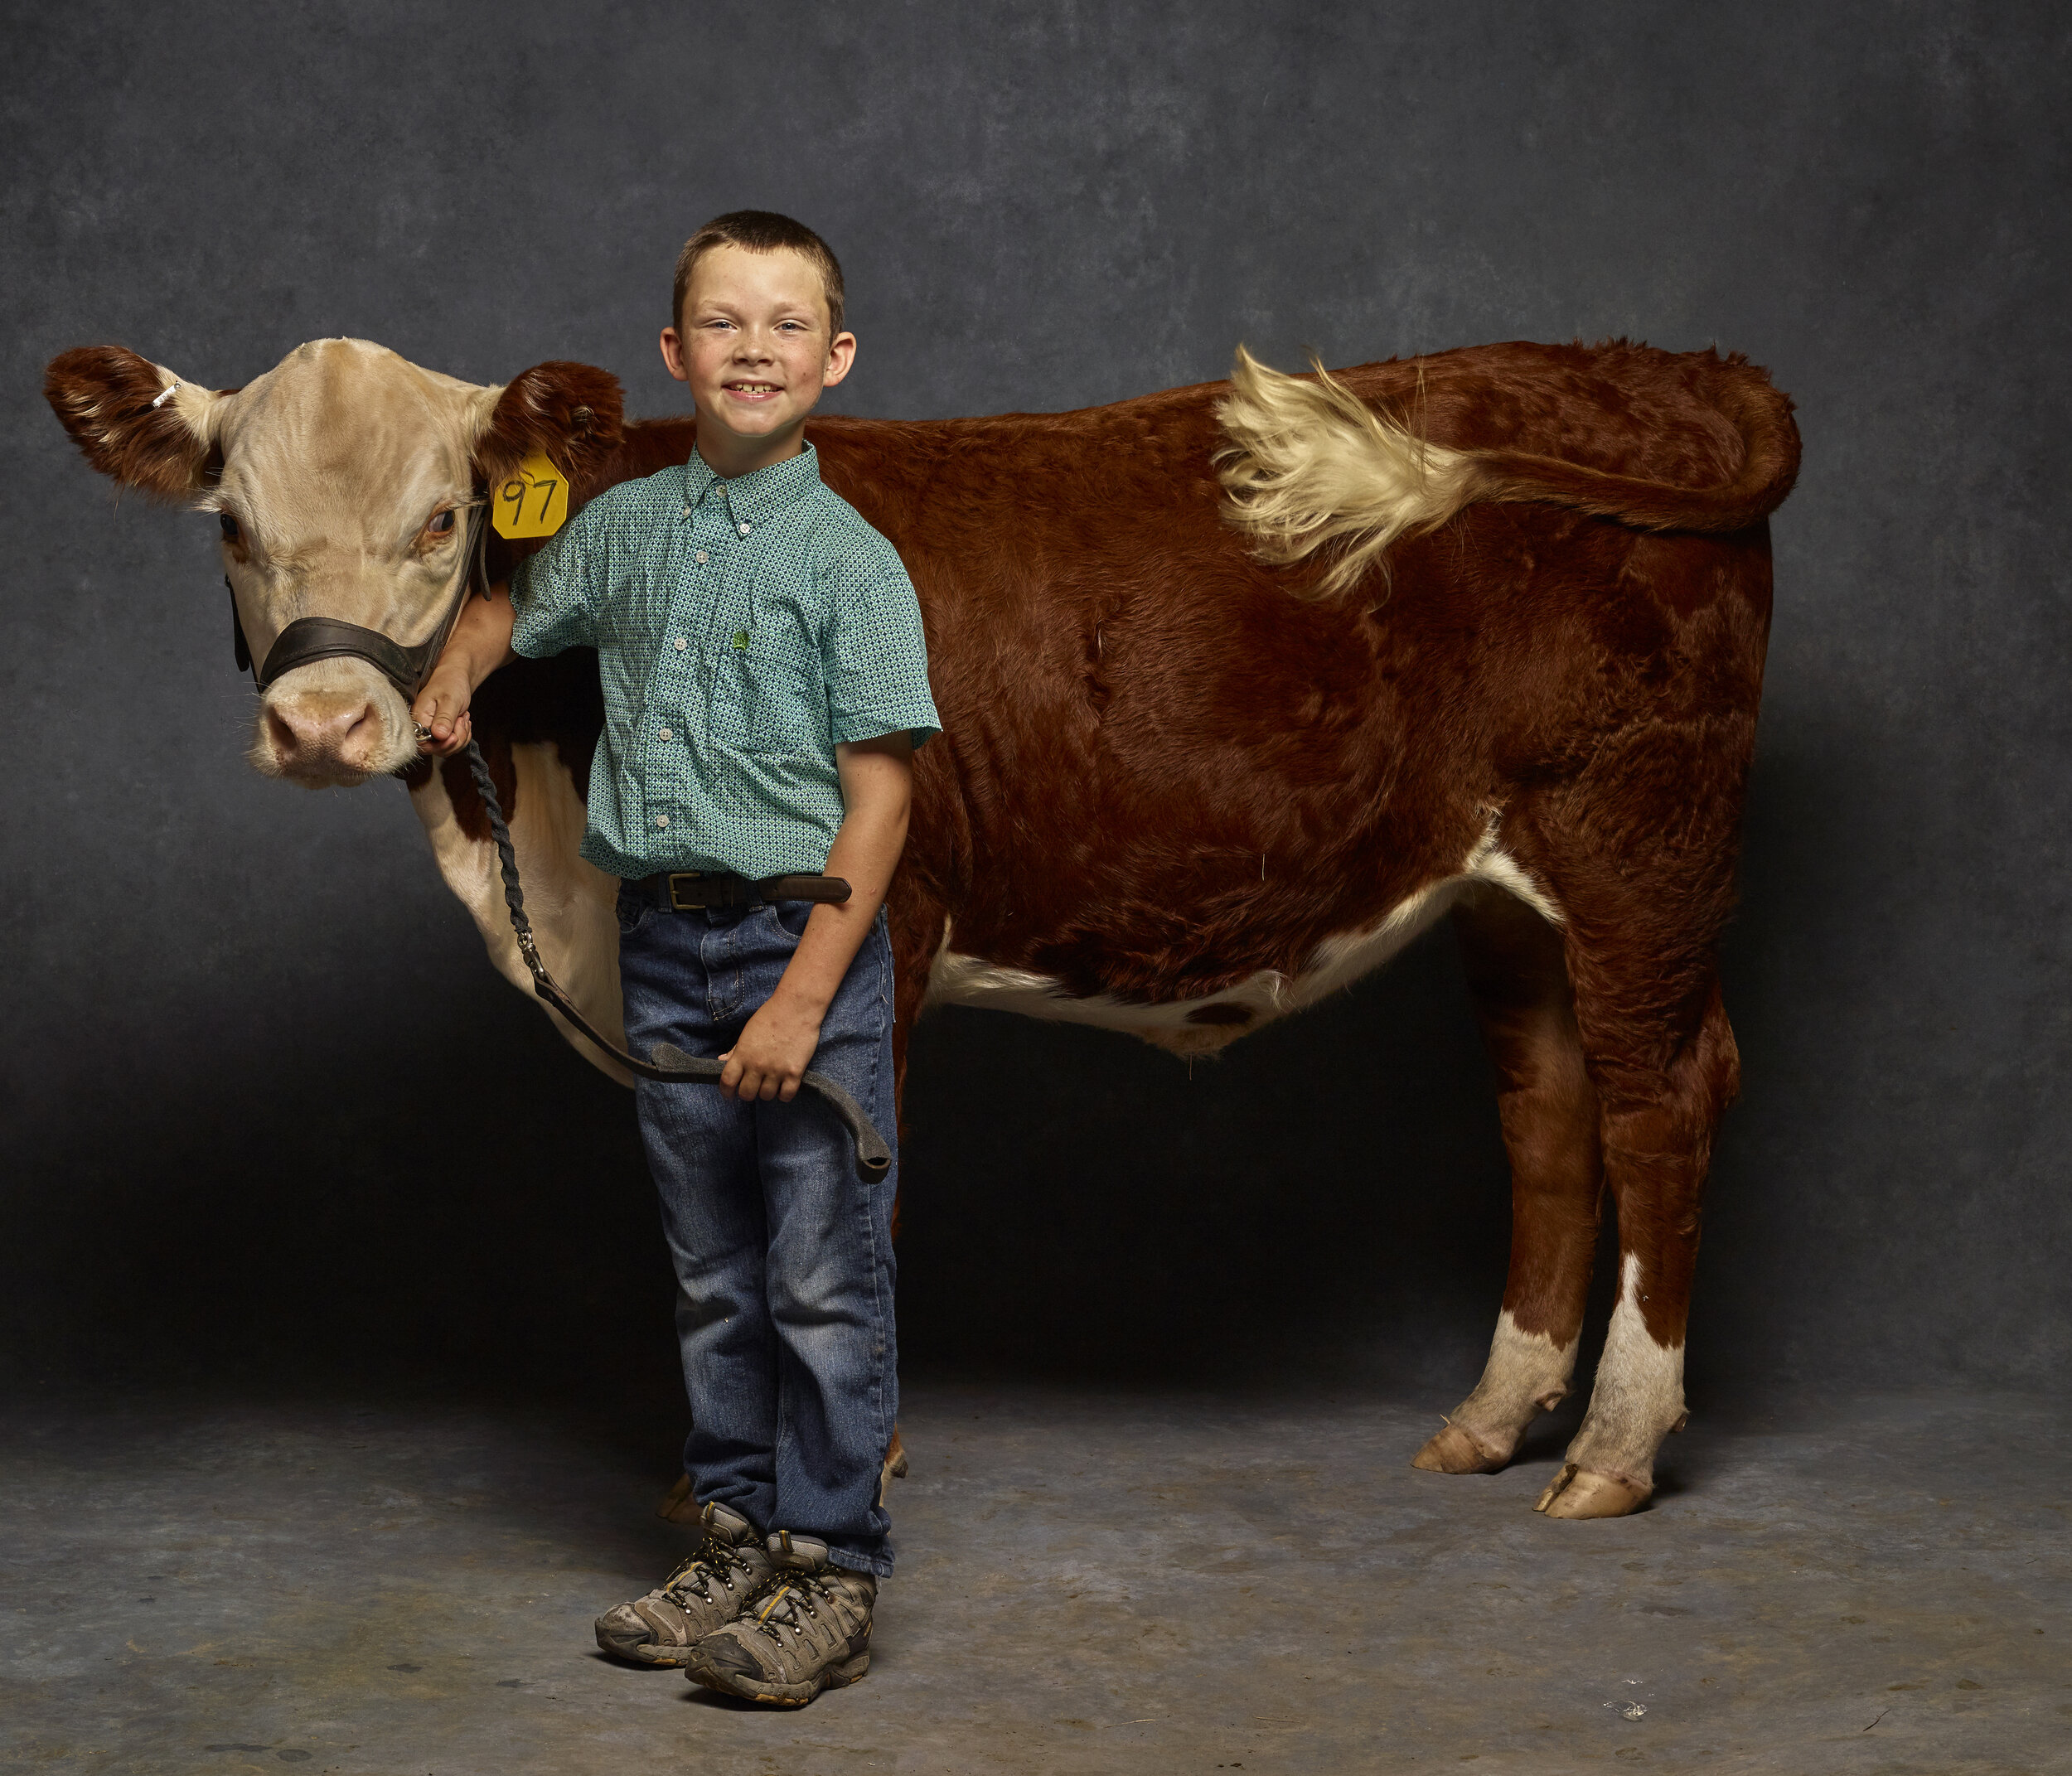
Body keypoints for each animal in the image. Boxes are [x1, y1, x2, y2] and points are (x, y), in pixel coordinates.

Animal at [48, 331, 1798, 1508]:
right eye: (230, 525)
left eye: (439, 520)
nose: (326, 723)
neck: (531, 838)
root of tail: (1652, 365)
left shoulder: (873, 931)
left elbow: (836, 1208)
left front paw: (841, 1470)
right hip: (1508, 887)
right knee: (1549, 1112)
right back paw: (1496, 1419)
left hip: (1634, 838)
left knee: (1661, 1098)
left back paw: (1615, 1448)